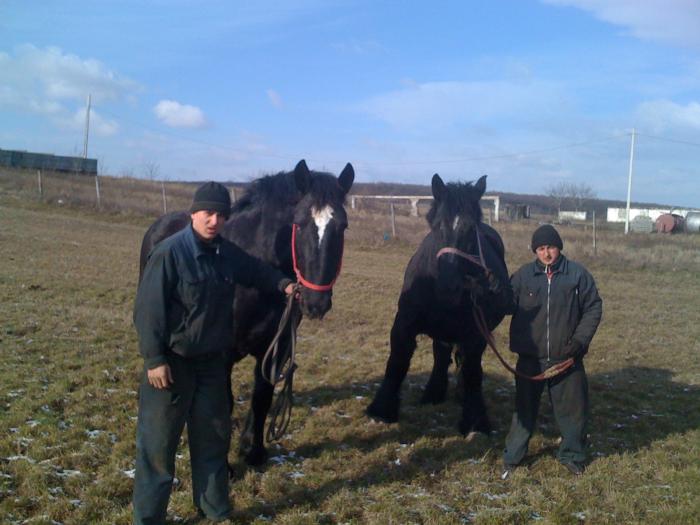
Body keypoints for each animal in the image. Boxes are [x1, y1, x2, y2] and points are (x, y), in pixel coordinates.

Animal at [139, 159, 352, 462]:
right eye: (299, 224)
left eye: (342, 226)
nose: (316, 302)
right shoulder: (222, 353)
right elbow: (222, 404)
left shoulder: (277, 347)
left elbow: (262, 396)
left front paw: (253, 451)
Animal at [366, 174, 508, 436]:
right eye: (436, 226)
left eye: (471, 230)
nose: (447, 285)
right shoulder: (404, 323)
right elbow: (397, 360)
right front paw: (381, 410)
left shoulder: (476, 334)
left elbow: (473, 371)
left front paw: (475, 421)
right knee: (441, 355)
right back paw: (433, 393)